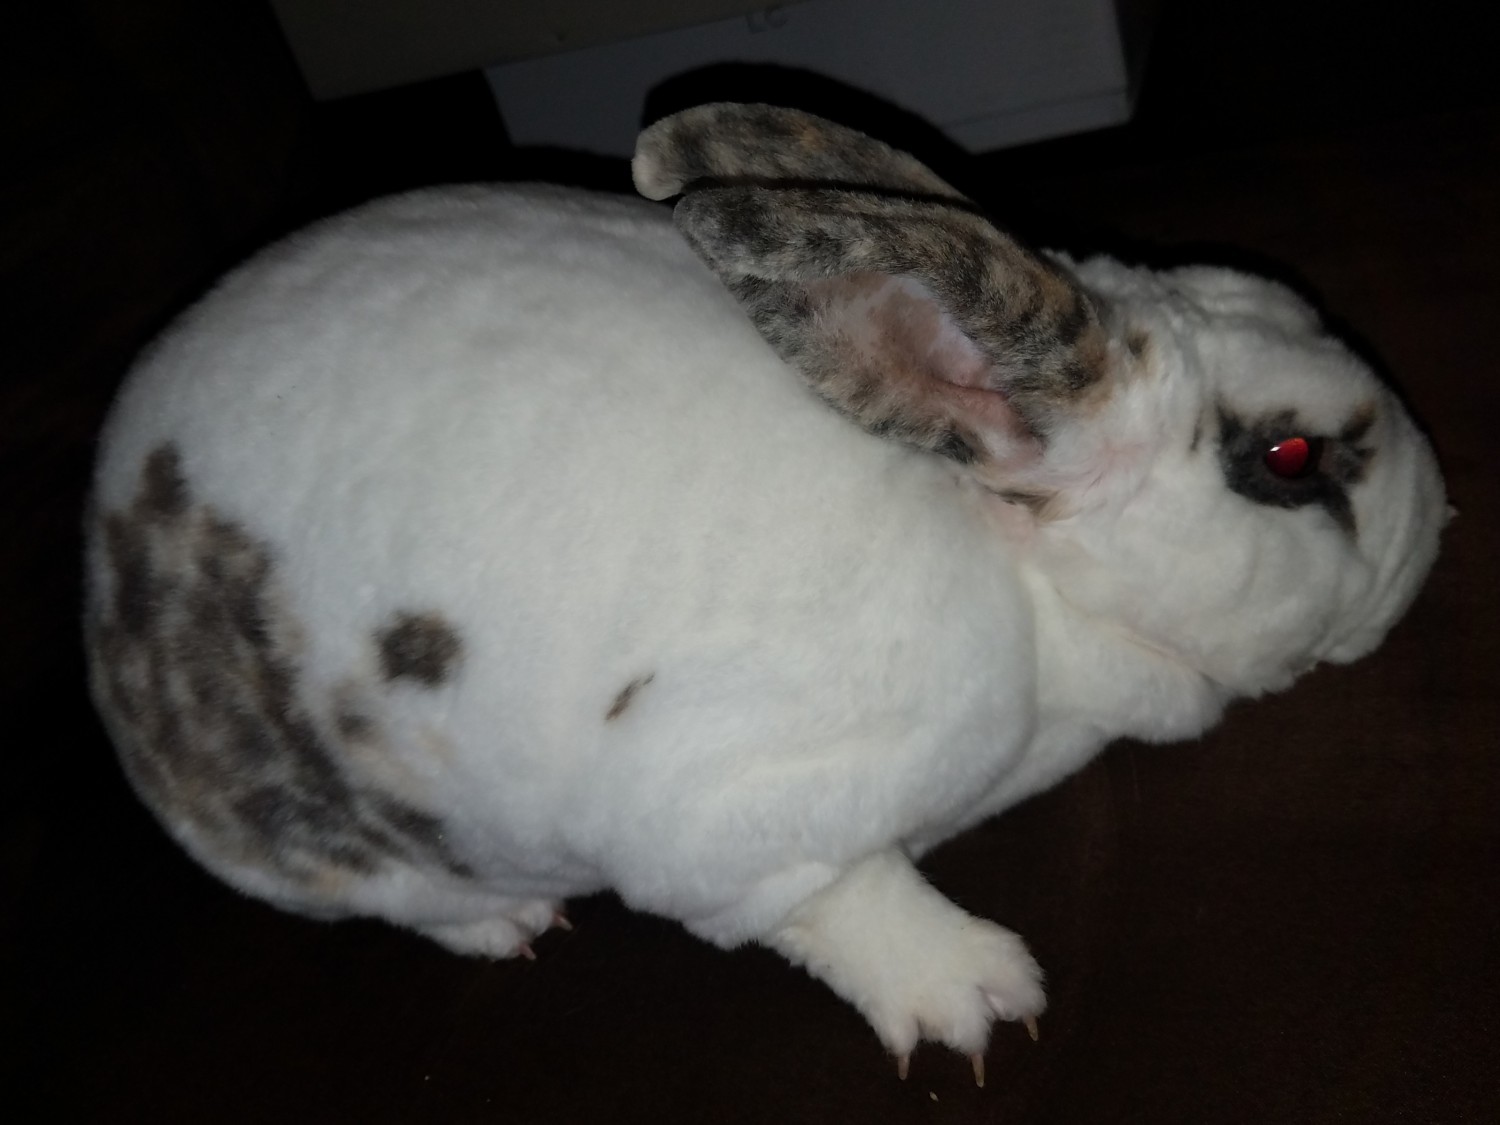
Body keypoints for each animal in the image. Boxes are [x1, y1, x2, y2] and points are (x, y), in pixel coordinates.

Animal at [84, 102, 1446, 1082]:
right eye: (1289, 459)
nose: (1441, 520)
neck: (1019, 573)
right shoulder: (728, 805)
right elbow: (836, 896)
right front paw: (971, 994)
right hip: (344, 845)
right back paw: (508, 926)